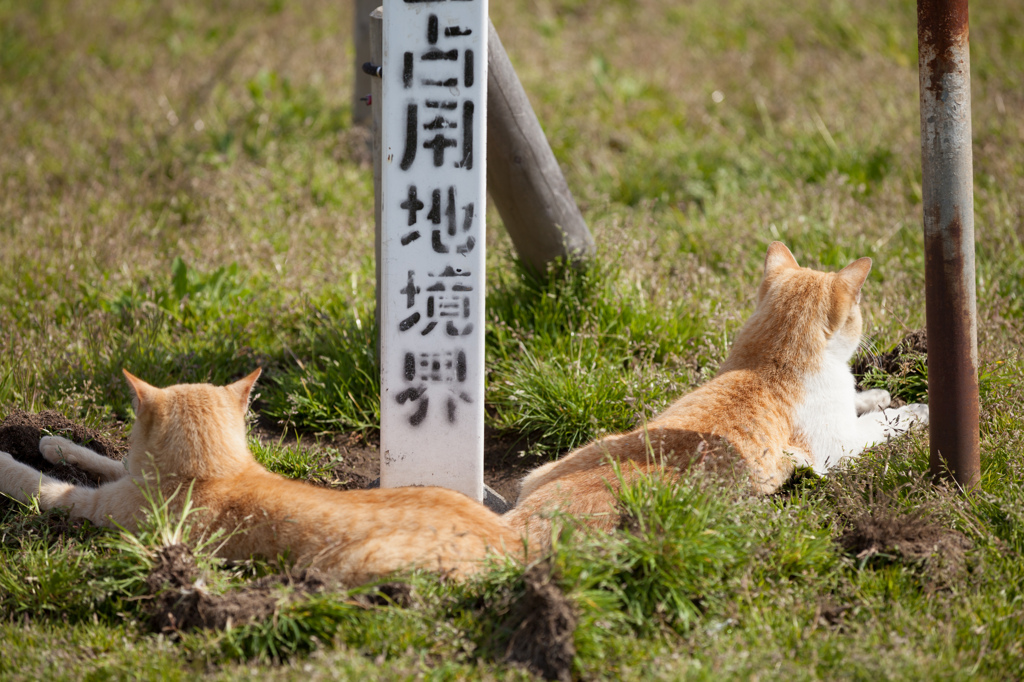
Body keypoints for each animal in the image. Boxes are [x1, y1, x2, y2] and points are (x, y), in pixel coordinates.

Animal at [0, 368, 516, 581]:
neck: (212, 472)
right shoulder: (130, 478)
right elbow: (110, 464)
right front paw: (56, 442)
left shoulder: (85, 505)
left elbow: (37, 483)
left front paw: (7, 460)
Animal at [507, 241, 933, 548]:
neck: (771, 361)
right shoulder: (840, 449)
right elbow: (883, 425)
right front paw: (916, 410)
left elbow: (860, 402)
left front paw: (875, 394)